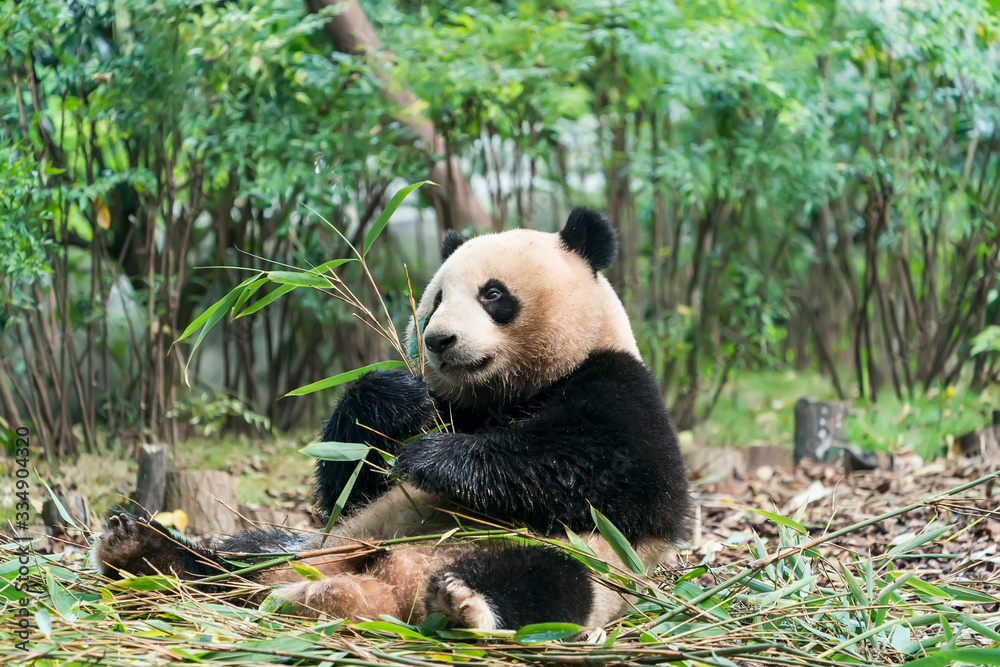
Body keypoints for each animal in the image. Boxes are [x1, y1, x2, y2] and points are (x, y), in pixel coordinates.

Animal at [92, 207, 691, 631]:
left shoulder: (617, 385)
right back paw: (145, 551)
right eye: (435, 300)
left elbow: (613, 472)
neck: (501, 395)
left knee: (545, 581)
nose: (439, 341)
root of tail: (385, 586)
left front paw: (434, 458)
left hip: (574, 559)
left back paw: (461, 604)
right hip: (313, 544)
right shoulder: (443, 409)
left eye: (493, 294)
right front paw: (395, 398)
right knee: (237, 561)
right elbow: (349, 479)